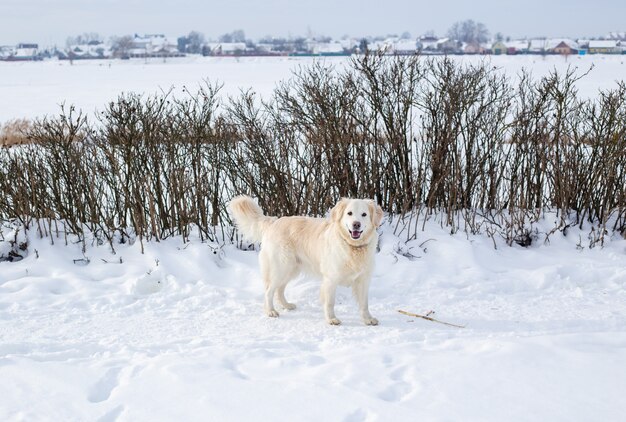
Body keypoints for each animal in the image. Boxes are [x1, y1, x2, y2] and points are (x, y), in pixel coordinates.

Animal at [229, 196, 382, 324]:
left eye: (364, 214)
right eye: (349, 213)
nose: (356, 224)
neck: (353, 247)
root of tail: (273, 222)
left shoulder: (363, 280)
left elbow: (364, 304)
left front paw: (368, 319)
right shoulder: (331, 279)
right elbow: (330, 302)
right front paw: (331, 319)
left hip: (291, 269)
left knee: (279, 290)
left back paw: (286, 305)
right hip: (281, 267)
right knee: (269, 291)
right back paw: (271, 311)